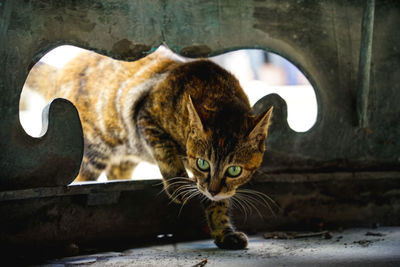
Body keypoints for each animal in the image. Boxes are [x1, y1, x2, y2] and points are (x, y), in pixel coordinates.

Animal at [23, 46, 274, 251]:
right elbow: (167, 152)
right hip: (93, 151)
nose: (212, 190)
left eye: (234, 170)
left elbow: (219, 203)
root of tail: (61, 71)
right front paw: (178, 186)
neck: (217, 91)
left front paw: (224, 232)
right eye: (203, 164)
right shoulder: (146, 117)